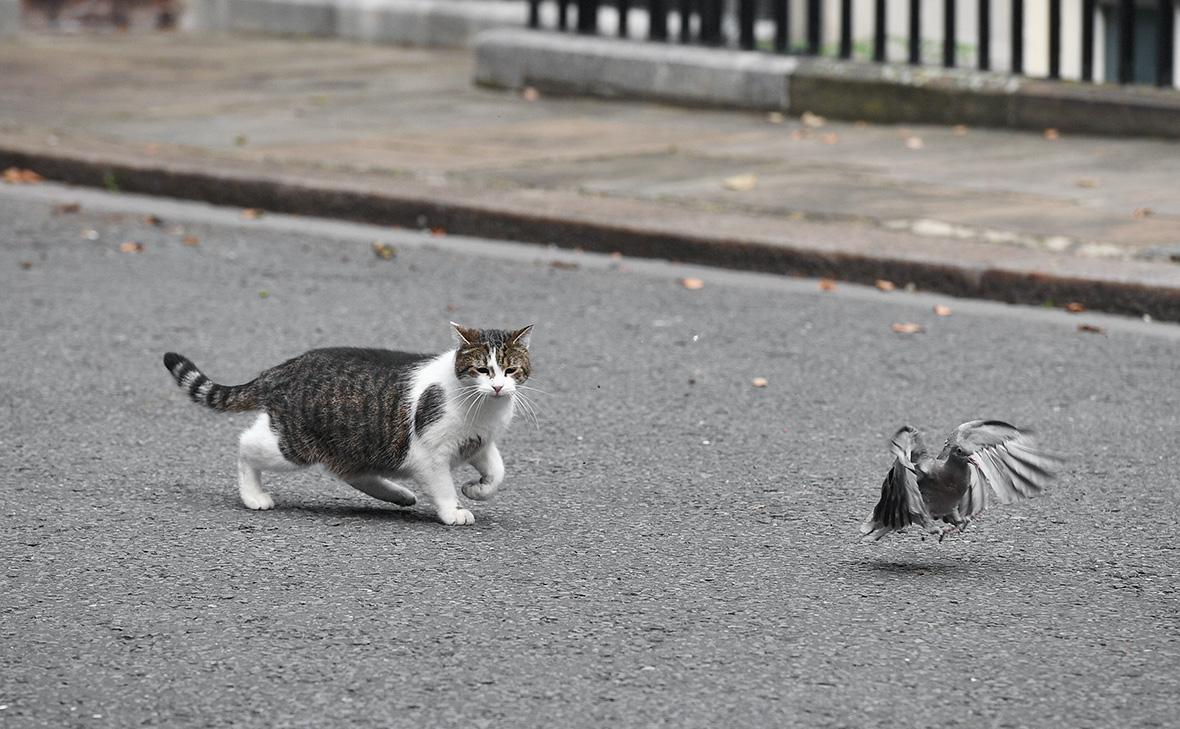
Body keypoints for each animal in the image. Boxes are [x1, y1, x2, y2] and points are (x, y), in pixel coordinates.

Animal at [164, 323, 533, 521]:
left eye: (511, 370)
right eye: (482, 369)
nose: (498, 387)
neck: (484, 410)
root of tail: (283, 368)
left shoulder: (480, 442)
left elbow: (498, 472)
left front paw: (478, 489)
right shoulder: (431, 455)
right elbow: (443, 488)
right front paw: (454, 510)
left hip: (356, 442)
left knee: (350, 471)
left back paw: (398, 494)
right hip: (294, 445)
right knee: (245, 446)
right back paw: (253, 495)